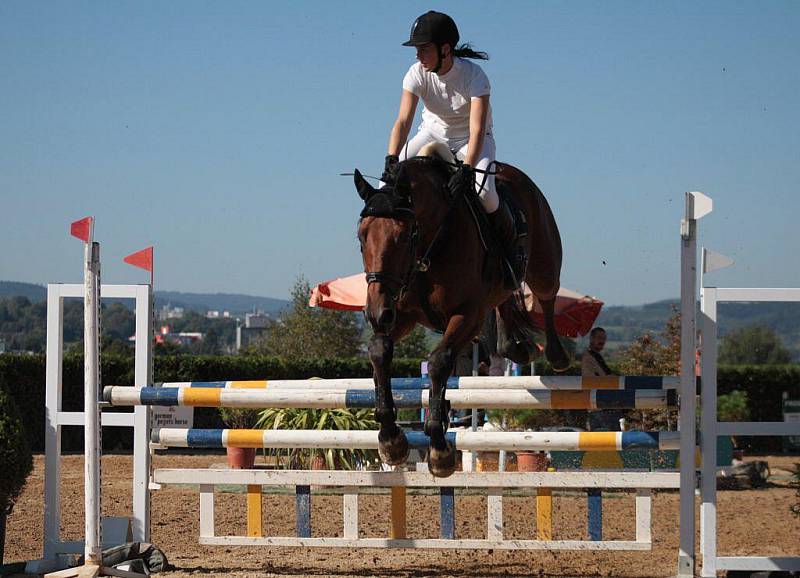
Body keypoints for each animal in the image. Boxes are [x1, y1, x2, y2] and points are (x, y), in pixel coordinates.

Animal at [356, 145, 568, 476]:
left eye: (403, 237)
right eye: (361, 237)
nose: (376, 313)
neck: (433, 243)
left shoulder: (468, 315)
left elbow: (439, 361)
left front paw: (439, 449)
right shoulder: (403, 314)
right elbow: (379, 351)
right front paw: (391, 439)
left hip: (544, 264)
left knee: (546, 295)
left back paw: (557, 355)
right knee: (505, 299)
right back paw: (516, 347)